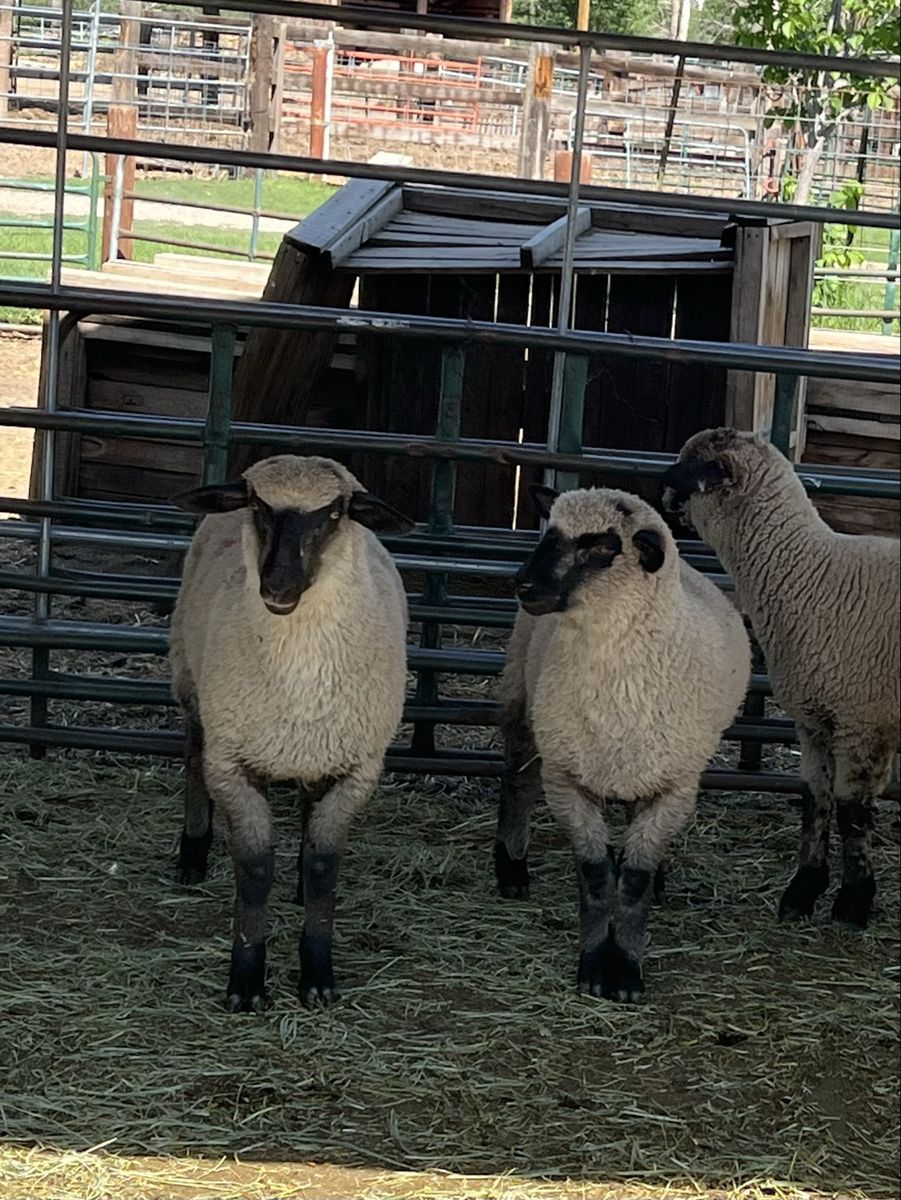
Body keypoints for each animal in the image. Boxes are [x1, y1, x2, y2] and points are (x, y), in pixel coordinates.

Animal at [169, 454, 414, 1012]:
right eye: (257, 505)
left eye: (335, 513)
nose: (277, 588)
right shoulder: (231, 764)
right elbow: (255, 871)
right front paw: (246, 981)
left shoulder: (356, 768)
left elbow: (325, 867)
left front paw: (318, 976)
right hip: (190, 681)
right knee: (192, 756)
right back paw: (193, 853)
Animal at [495, 485, 751, 1002]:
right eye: (549, 531)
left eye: (601, 546)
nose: (523, 586)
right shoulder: (566, 779)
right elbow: (595, 875)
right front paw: (595, 965)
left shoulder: (674, 786)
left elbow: (632, 880)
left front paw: (627, 968)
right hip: (521, 697)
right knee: (517, 781)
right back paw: (511, 867)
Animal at [663, 427, 900, 930]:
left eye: (691, 469)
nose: (659, 494)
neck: (808, 575)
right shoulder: (814, 720)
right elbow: (815, 800)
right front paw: (803, 891)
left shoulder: (862, 719)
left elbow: (852, 811)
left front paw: (854, 903)